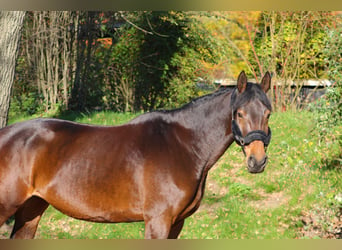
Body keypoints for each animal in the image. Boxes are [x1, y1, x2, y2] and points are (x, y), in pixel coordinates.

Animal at [0, 70, 272, 238]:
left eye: (268, 113)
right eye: (239, 114)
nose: (257, 162)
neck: (183, 145)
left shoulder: (177, 223)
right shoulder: (158, 221)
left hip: (31, 210)